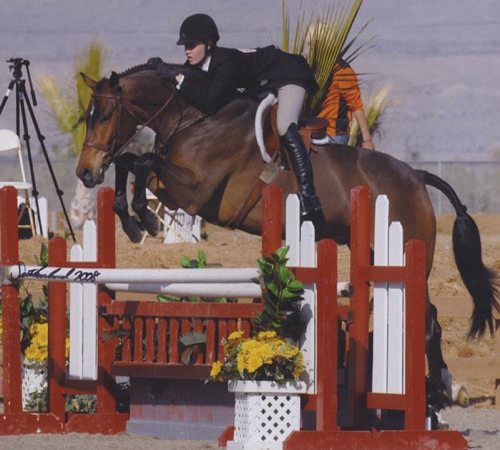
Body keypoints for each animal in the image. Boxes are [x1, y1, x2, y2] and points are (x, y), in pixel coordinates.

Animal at [76, 62, 498, 414]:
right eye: (86, 116)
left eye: (107, 115)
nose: (84, 173)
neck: (195, 120)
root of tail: (416, 176)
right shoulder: (179, 185)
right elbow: (131, 162)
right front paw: (132, 221)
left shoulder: (194, 192)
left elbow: (141, 163)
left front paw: (144, 219)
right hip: (377, 254)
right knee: (427, 317)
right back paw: (437, 391)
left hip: (406, 255)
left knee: (428, 323)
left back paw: (436, 396)